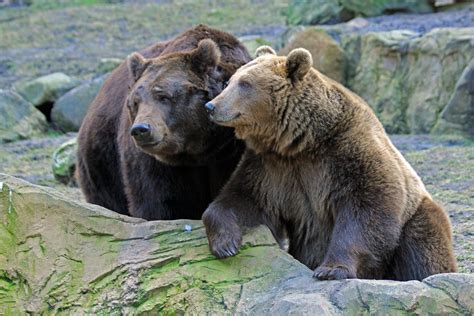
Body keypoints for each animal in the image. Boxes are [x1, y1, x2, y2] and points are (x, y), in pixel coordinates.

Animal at [76, 25, 250, 220]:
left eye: (163, 96)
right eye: (134, 102)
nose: (141, 129)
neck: (200, 150)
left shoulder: (230, 152)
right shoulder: (156, 164)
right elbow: (161, 202)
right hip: (102, 163)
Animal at [202, 45, 458, 280]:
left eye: (245, 83)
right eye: (229, 81)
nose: (211, 106)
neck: (299, 140)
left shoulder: (346, 152)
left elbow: (367, 207)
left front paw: (331, 269)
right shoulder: (271, 167)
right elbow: (241, 200)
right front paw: (226, 244)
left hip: (418, 215)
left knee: (423, 246)